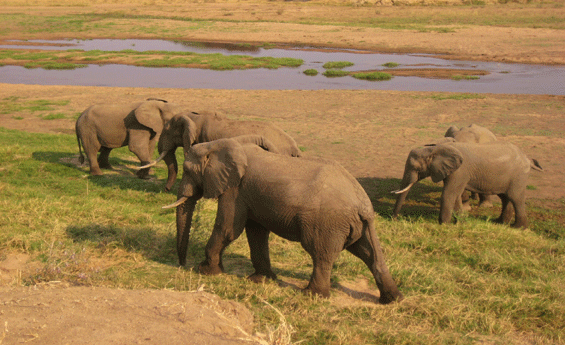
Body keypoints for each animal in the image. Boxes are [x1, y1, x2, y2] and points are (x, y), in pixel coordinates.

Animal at [163, 136, 400, 302]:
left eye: (188, 170)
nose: (182, 265)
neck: (222, 144)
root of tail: (363, 202)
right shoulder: (249, 194)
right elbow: (256, 233)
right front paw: (261, 280)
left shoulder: (235, 190)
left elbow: (229, 228)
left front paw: (207, 272)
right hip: (358, 224)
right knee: (369, 254)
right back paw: (392, 299)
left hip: (326, 223)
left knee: (320, 254)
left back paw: (311, 295)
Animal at [392, 140, 540, 228]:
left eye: (416, 169)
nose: (395, 219)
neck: (436, 148)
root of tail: (527, 158)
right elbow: (455, 195)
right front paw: (460, 222)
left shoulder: (460, 171)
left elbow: (449, 194)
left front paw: (444, 225)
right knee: (505, 198)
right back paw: (500, 223)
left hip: (519, 176)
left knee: (516, 198)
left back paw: (519, 228)